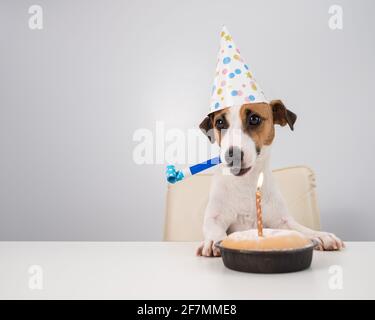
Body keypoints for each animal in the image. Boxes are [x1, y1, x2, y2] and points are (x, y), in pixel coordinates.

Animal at [198, 101, 346, 256]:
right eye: (219, 122)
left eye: (254, 119)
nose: (232, 155)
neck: (246, 182)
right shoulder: (215, 218)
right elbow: (214, 228)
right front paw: (214, 241)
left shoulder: (282, 221)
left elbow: (301, 228)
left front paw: (320, 235)